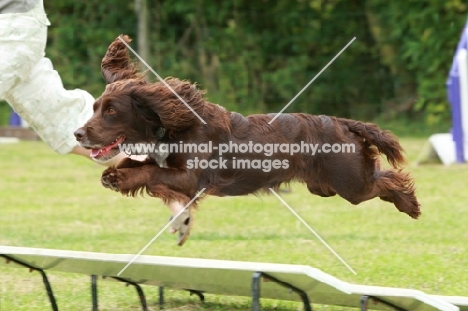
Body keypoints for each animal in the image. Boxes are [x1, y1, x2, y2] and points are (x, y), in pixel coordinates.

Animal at [76, 34, 420, 236]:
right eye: (95, 107)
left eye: (111, 111)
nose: (78, 133)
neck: (172, 127)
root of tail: (344, 123)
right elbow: (141, 166)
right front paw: (114, 175)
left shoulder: (191, 179)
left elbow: (150, 171)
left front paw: (118, 178)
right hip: (325, 186)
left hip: (349, 183)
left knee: (387, 180)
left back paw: (410, 205)